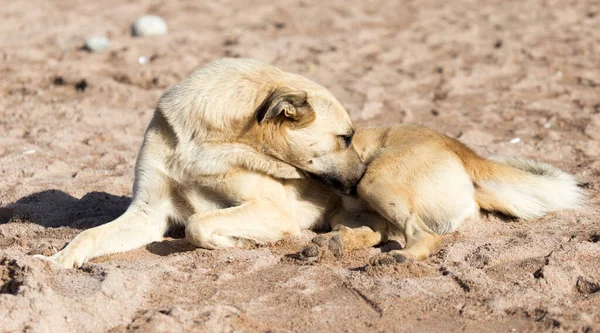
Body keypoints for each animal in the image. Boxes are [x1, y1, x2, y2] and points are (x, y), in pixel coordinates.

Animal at [38, 58, 366, 268]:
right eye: (345, 138)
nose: (365, 174)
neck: (204, 144)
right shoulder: (148, 211)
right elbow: (88, 234)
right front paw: (58, 261)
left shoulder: (274, 210)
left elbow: (196, 223)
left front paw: (235, 243)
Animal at [300, 123, 584, 264]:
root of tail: (461, 150)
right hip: (353, 206)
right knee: (378, 230)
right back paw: (333, 243)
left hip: (373, 182)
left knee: (421, 234)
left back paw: (402, 256)